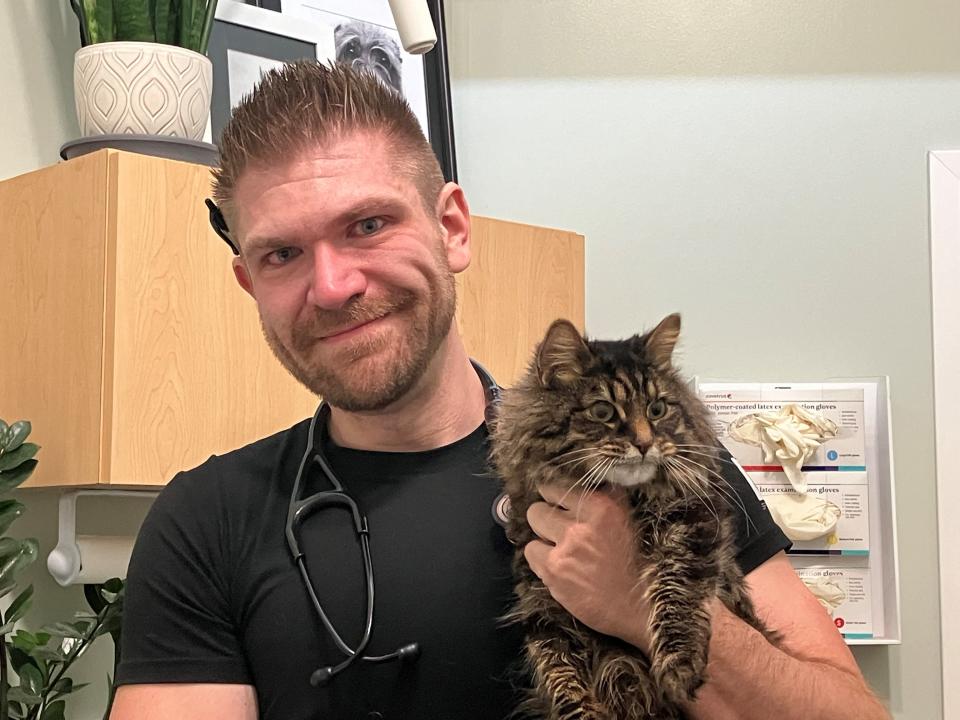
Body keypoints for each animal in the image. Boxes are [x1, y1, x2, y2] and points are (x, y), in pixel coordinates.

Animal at [492, 316, 776, 720]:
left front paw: (680, 664)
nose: (644, 444)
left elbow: (677, 589)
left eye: (657, 409)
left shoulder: (690, 522)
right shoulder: (542, 601)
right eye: (603, 412)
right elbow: (561, 676)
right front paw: (581, 711)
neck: (622, 494)